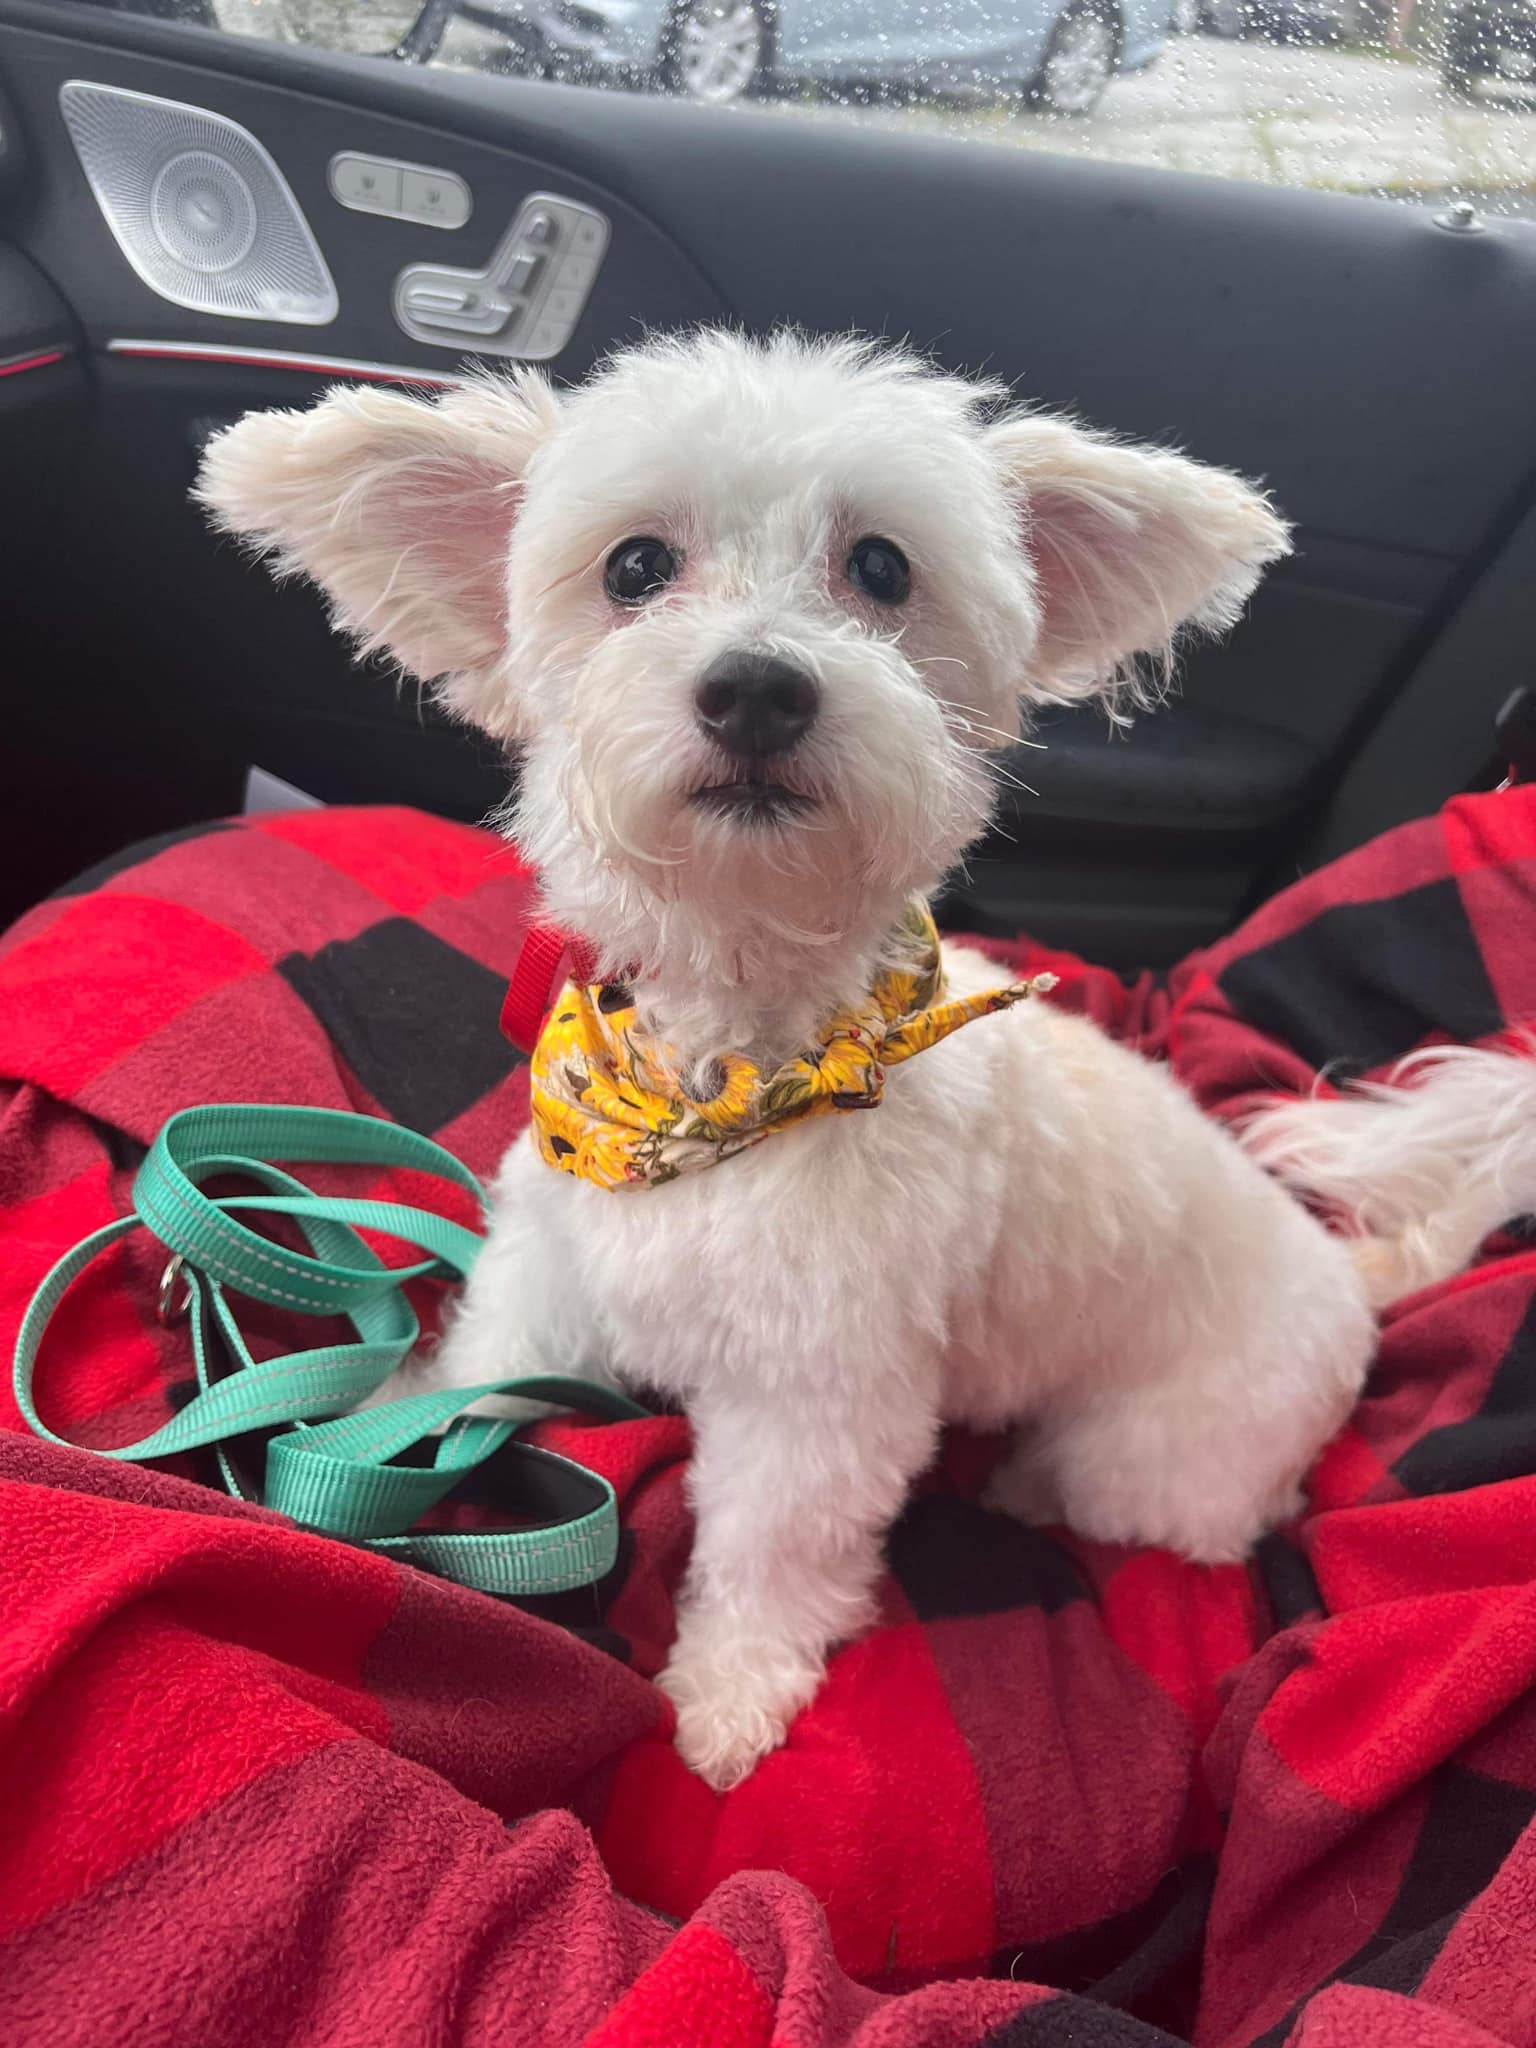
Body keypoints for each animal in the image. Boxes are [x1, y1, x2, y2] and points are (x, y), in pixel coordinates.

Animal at [198, 335, 1536, 1794]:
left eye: (884, 569)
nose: (757, 686)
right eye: (634, 566)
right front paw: (372, 1432)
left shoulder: (818, 1392)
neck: (725, 1080)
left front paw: (727, 1696)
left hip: (1162, 1453)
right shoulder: (551, 1268)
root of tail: (1353, 1275)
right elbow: (478, 1366)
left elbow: (770, 1546)